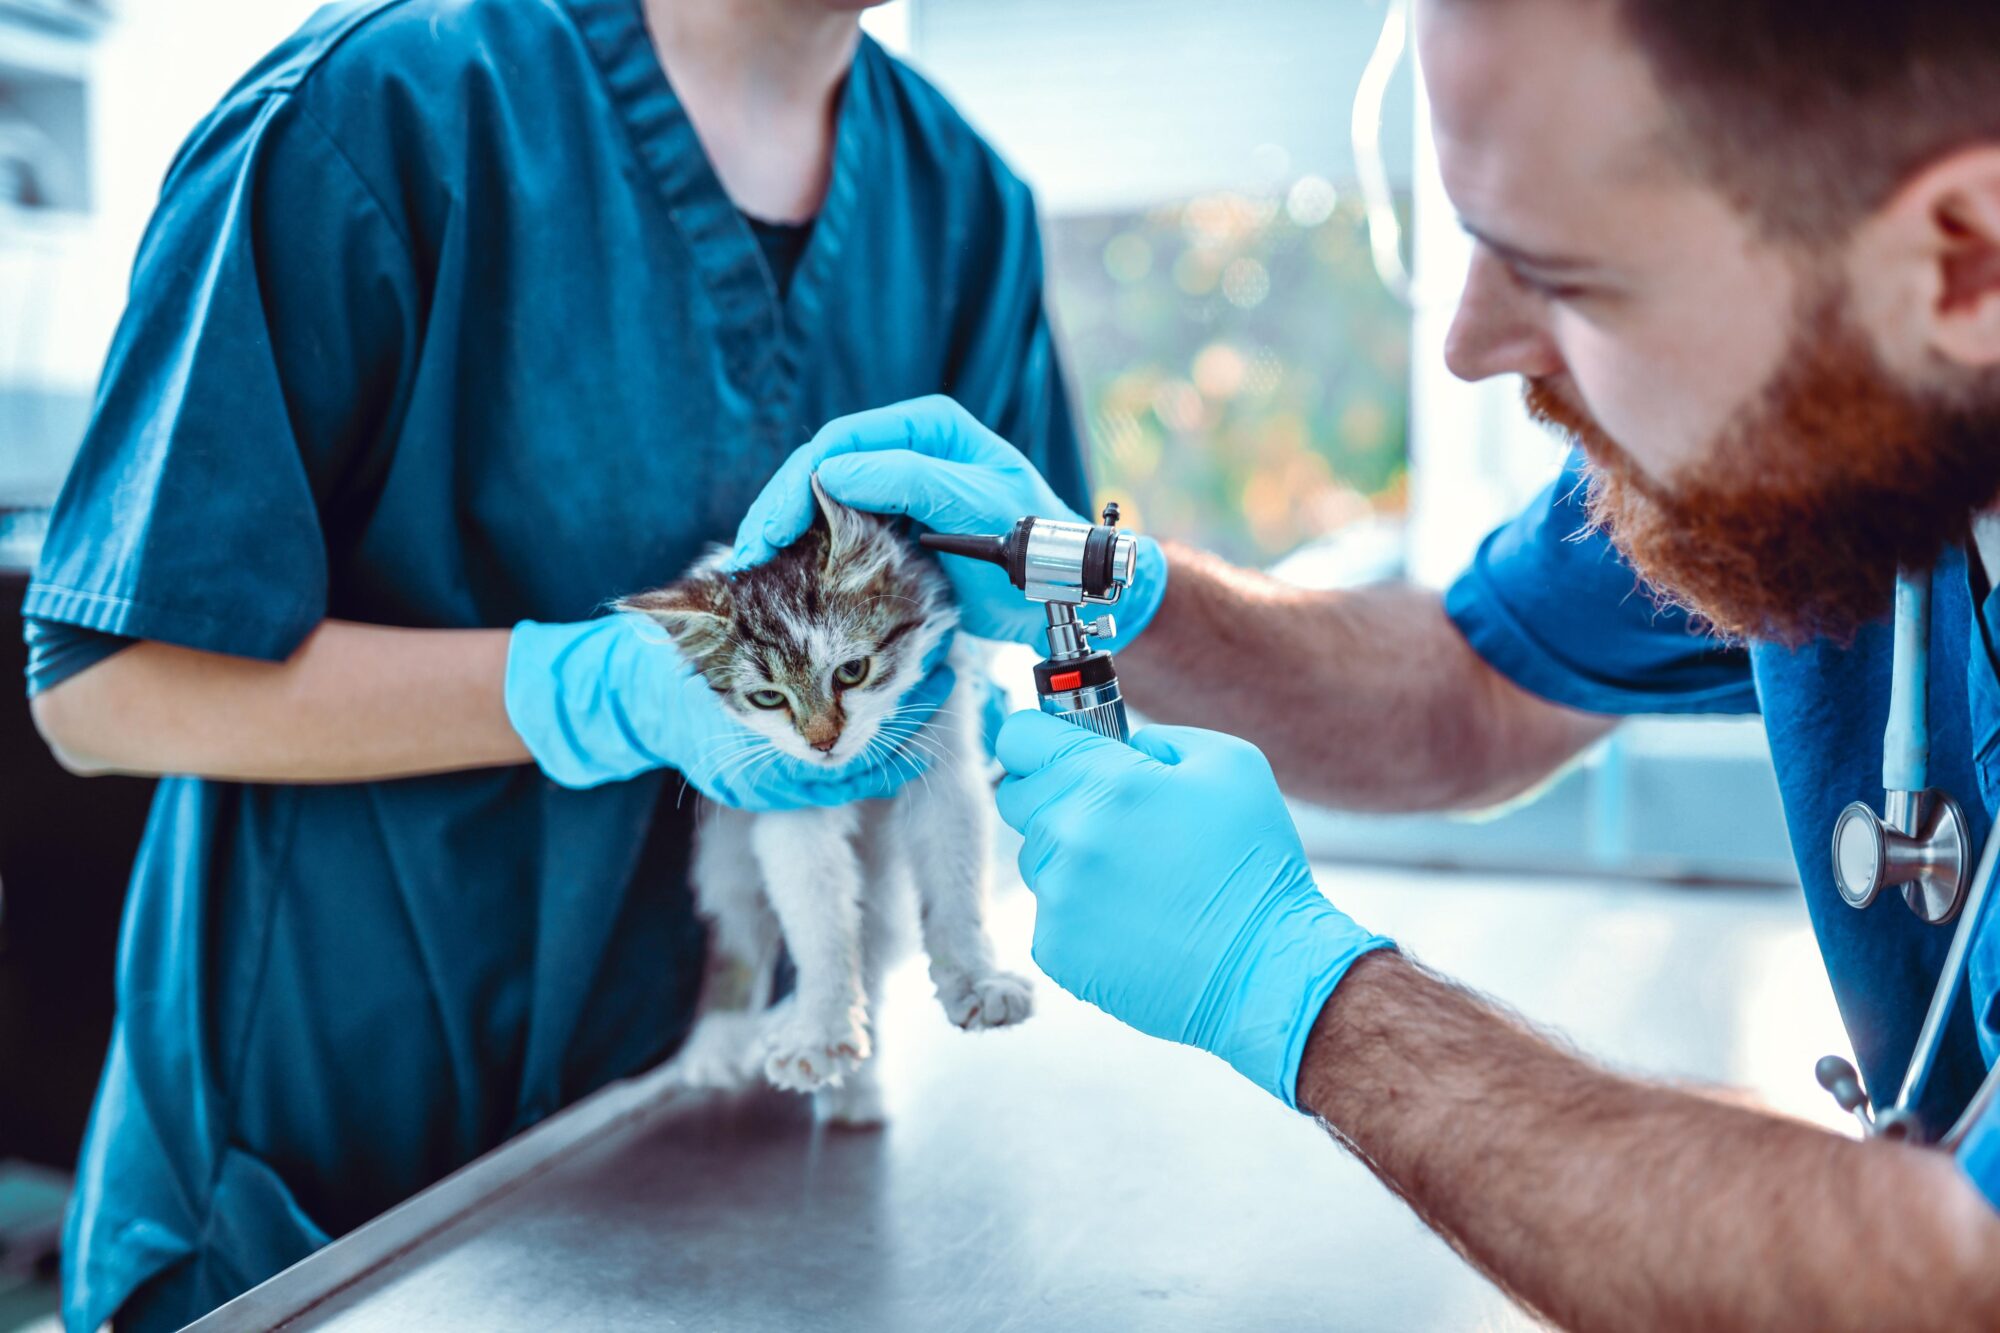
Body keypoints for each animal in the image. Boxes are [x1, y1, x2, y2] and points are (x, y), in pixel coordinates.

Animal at [620, 478, 1032, 1120]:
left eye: (852, 671)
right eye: (768, 698)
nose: (822, 743)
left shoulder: (946, 766)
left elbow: (955, 891)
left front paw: (977, 980)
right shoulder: (786, 813)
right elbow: (819, 924)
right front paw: (819, 1029)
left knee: (874, 936)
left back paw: (856, 1092)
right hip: (725, 848)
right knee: (738, 930)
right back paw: (721, 1042)